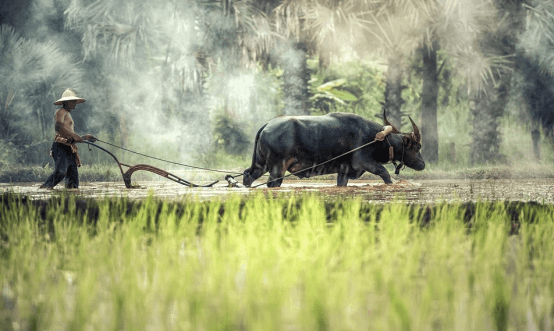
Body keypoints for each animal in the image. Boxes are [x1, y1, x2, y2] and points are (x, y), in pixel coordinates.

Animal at [242, 113, 422, 188]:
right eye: (417, 146)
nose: (422, 164)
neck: (377, 138)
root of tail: (267, 125)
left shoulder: (344, 172)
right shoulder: (365, 162)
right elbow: (385, 174)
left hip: (261, 164)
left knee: (248, 175)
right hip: (277, 168)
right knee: (272, 183)